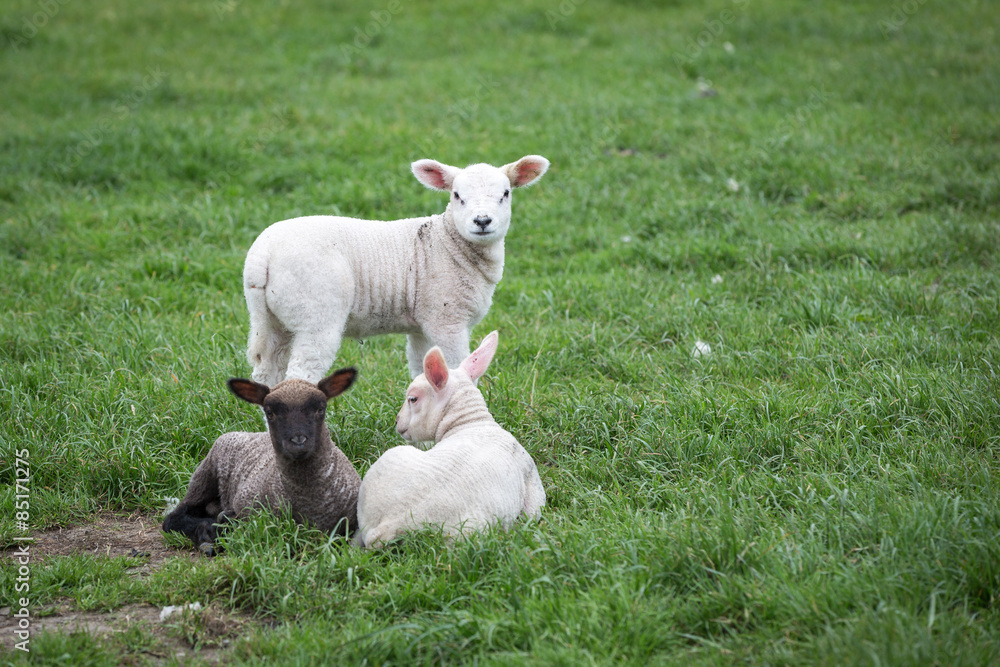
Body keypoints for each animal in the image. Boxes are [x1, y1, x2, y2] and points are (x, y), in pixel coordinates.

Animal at [162, 368, 361, 554]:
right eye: (269, 412)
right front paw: (215, 528)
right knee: (173, 518)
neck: (312, 503)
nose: (298, 441)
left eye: (321, 409)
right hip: (204, 476)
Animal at [242, 155, 550, 386]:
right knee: (300, 373)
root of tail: (262, 254)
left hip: (273, 320)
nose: (482, 221)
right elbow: (458, 369)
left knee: (267, 373)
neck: (448, 243)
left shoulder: (423, 324)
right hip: (315, 311)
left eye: (506, 194)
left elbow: (423, 370)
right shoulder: (447, 319)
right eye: (457, 195)